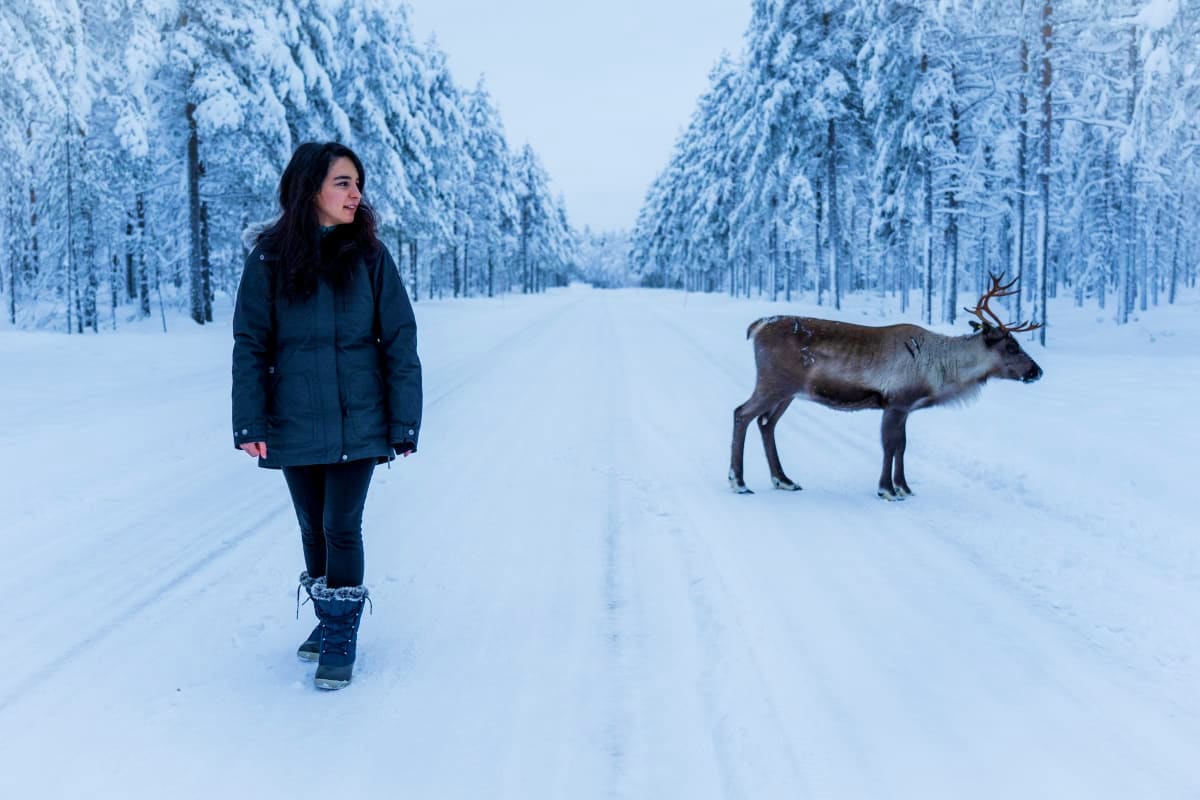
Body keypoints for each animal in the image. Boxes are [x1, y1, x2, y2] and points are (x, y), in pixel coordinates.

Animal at [729, 274, 1043, 499]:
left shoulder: (904, 408)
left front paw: (904, 487)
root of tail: (756, 326)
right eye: (1012, 346)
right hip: (773, 383)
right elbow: (890, 445)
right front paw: (887, 490)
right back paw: (739, 482)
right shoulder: (895, 403)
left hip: (789, 392)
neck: (942, 370)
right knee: (742, 413)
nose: (1037, 371)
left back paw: (783, 480)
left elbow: (902, 445)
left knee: (766, 423)